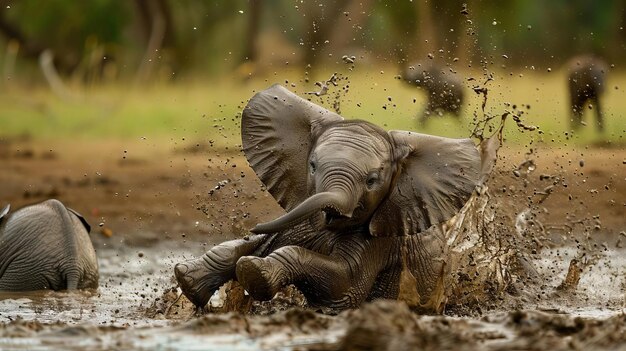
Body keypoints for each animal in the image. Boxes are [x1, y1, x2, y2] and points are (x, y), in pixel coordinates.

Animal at [173, 84, 480, 310]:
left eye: (372, 181)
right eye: (312, 166)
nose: (254, 225)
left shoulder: (381, 244)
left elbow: (344, 284)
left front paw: (253, 271)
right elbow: (243, 245)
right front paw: (186, 278)